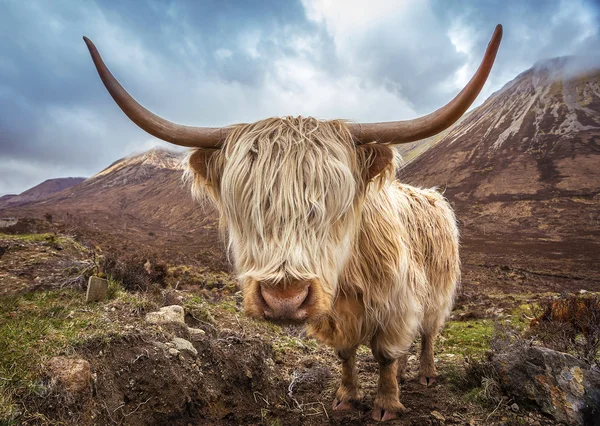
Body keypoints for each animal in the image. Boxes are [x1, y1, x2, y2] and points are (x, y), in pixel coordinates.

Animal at [84, 25, 504, 422]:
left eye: (335, 204)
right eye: (246, 204)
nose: (283, 300)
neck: (348, 280)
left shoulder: (397, 303)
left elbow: (384, 354)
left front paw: (385, 405)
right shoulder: (335, 316)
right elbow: (346, 354)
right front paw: (346, 398)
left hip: (438, 290)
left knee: (429, 332)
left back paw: (427, 374)